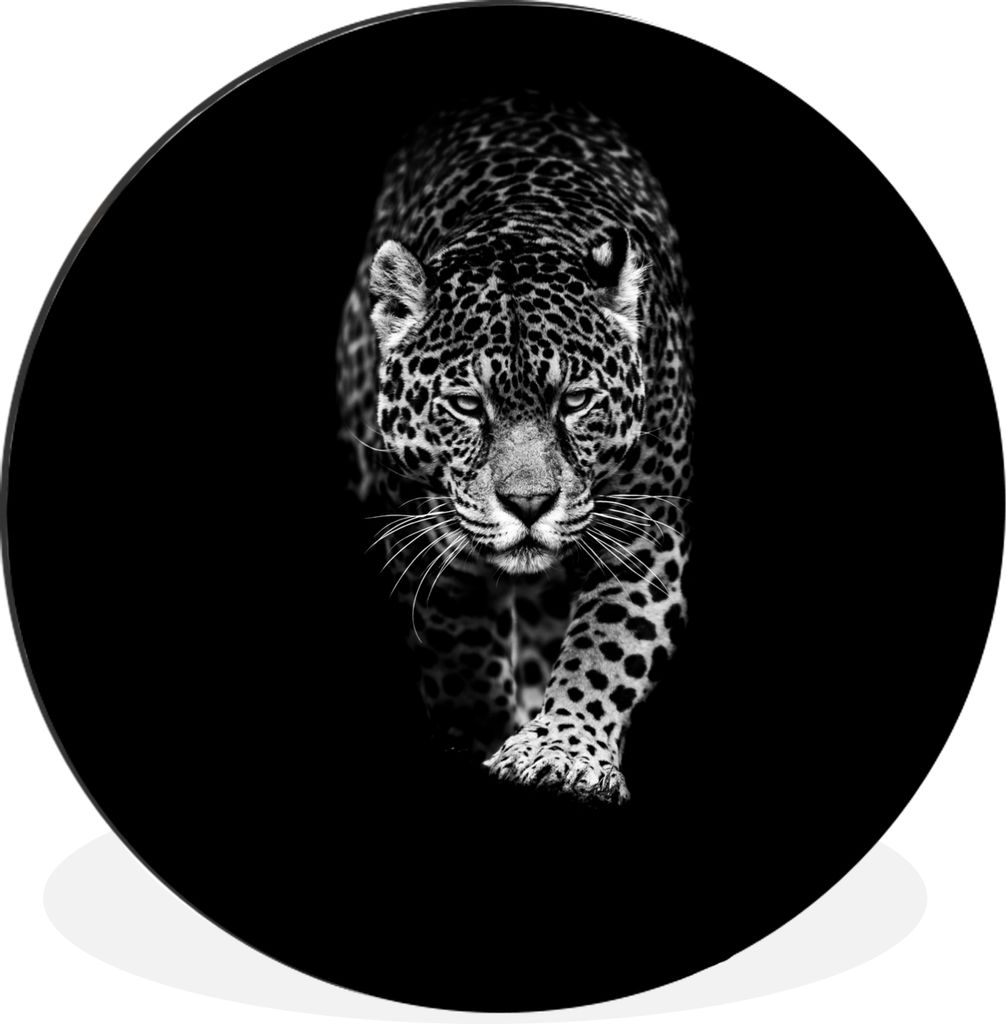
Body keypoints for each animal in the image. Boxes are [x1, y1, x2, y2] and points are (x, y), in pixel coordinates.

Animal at [336, 93, 693, 804]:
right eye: (468, 405)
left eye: (575, 401)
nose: (529, 505)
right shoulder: (426, 541)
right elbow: (460, 652)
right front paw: (476, 737)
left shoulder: (644, 535)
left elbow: (609, 644)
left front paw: (563, 751)